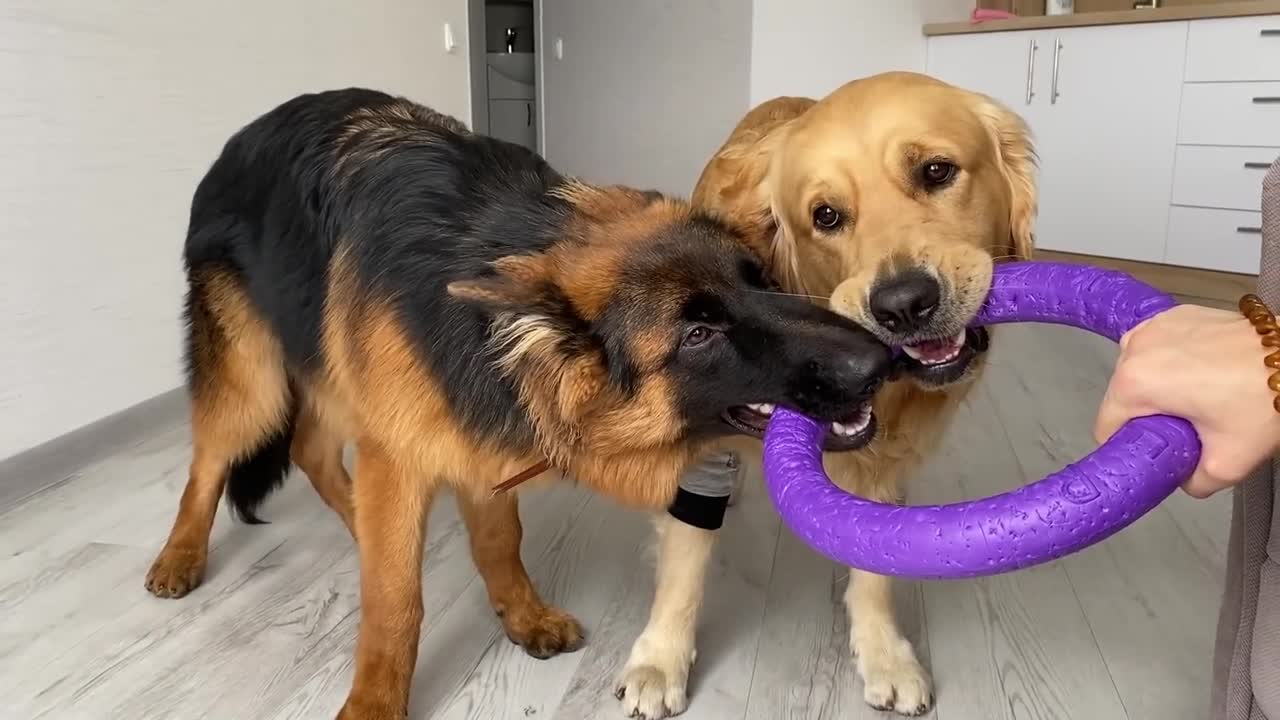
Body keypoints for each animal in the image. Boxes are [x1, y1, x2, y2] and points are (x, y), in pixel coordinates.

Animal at [140, 87, 896, 712]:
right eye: (699, 334)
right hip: (254, 382)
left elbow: (500, 540)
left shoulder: (473, 430)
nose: (881, 360)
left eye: (760, 278)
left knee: (312, 450)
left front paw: (521, 614)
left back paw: (357, 523)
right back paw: (181, 556)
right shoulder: (403, 449)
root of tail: (239, 139)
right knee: (210, 459)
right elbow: (395, 603)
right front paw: (375, 703)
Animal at [611, 70, 1039, 712]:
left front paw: (886, 654)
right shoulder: (703, 437)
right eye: (827, 215)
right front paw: (658, 662)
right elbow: (684, 556)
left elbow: (876, 559)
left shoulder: (885, 465)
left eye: (937, 171)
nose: (903, 305)